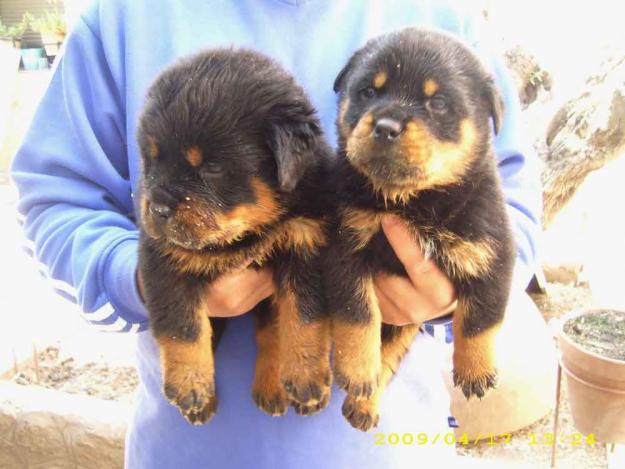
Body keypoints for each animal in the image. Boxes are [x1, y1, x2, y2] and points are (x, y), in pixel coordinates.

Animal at [135, 48, 334, 424]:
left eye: (211, 168)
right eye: (151, 161)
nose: (158, 209)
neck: (247, 233)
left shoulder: (306, 243)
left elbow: (303, 316)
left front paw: (306, 375)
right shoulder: (163, 259)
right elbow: (183, 326)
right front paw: (190, 384)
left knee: (271, 333)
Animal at [324, 29, 516, 430]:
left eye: (438, 103)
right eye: (369, 92)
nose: (385, 127)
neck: (412, 203)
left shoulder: (493, 251)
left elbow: (482, 317)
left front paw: (477, 371)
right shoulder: (344, 247)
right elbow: (357, 312)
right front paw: (357, 369)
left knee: (389, 358)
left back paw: (364, 406)